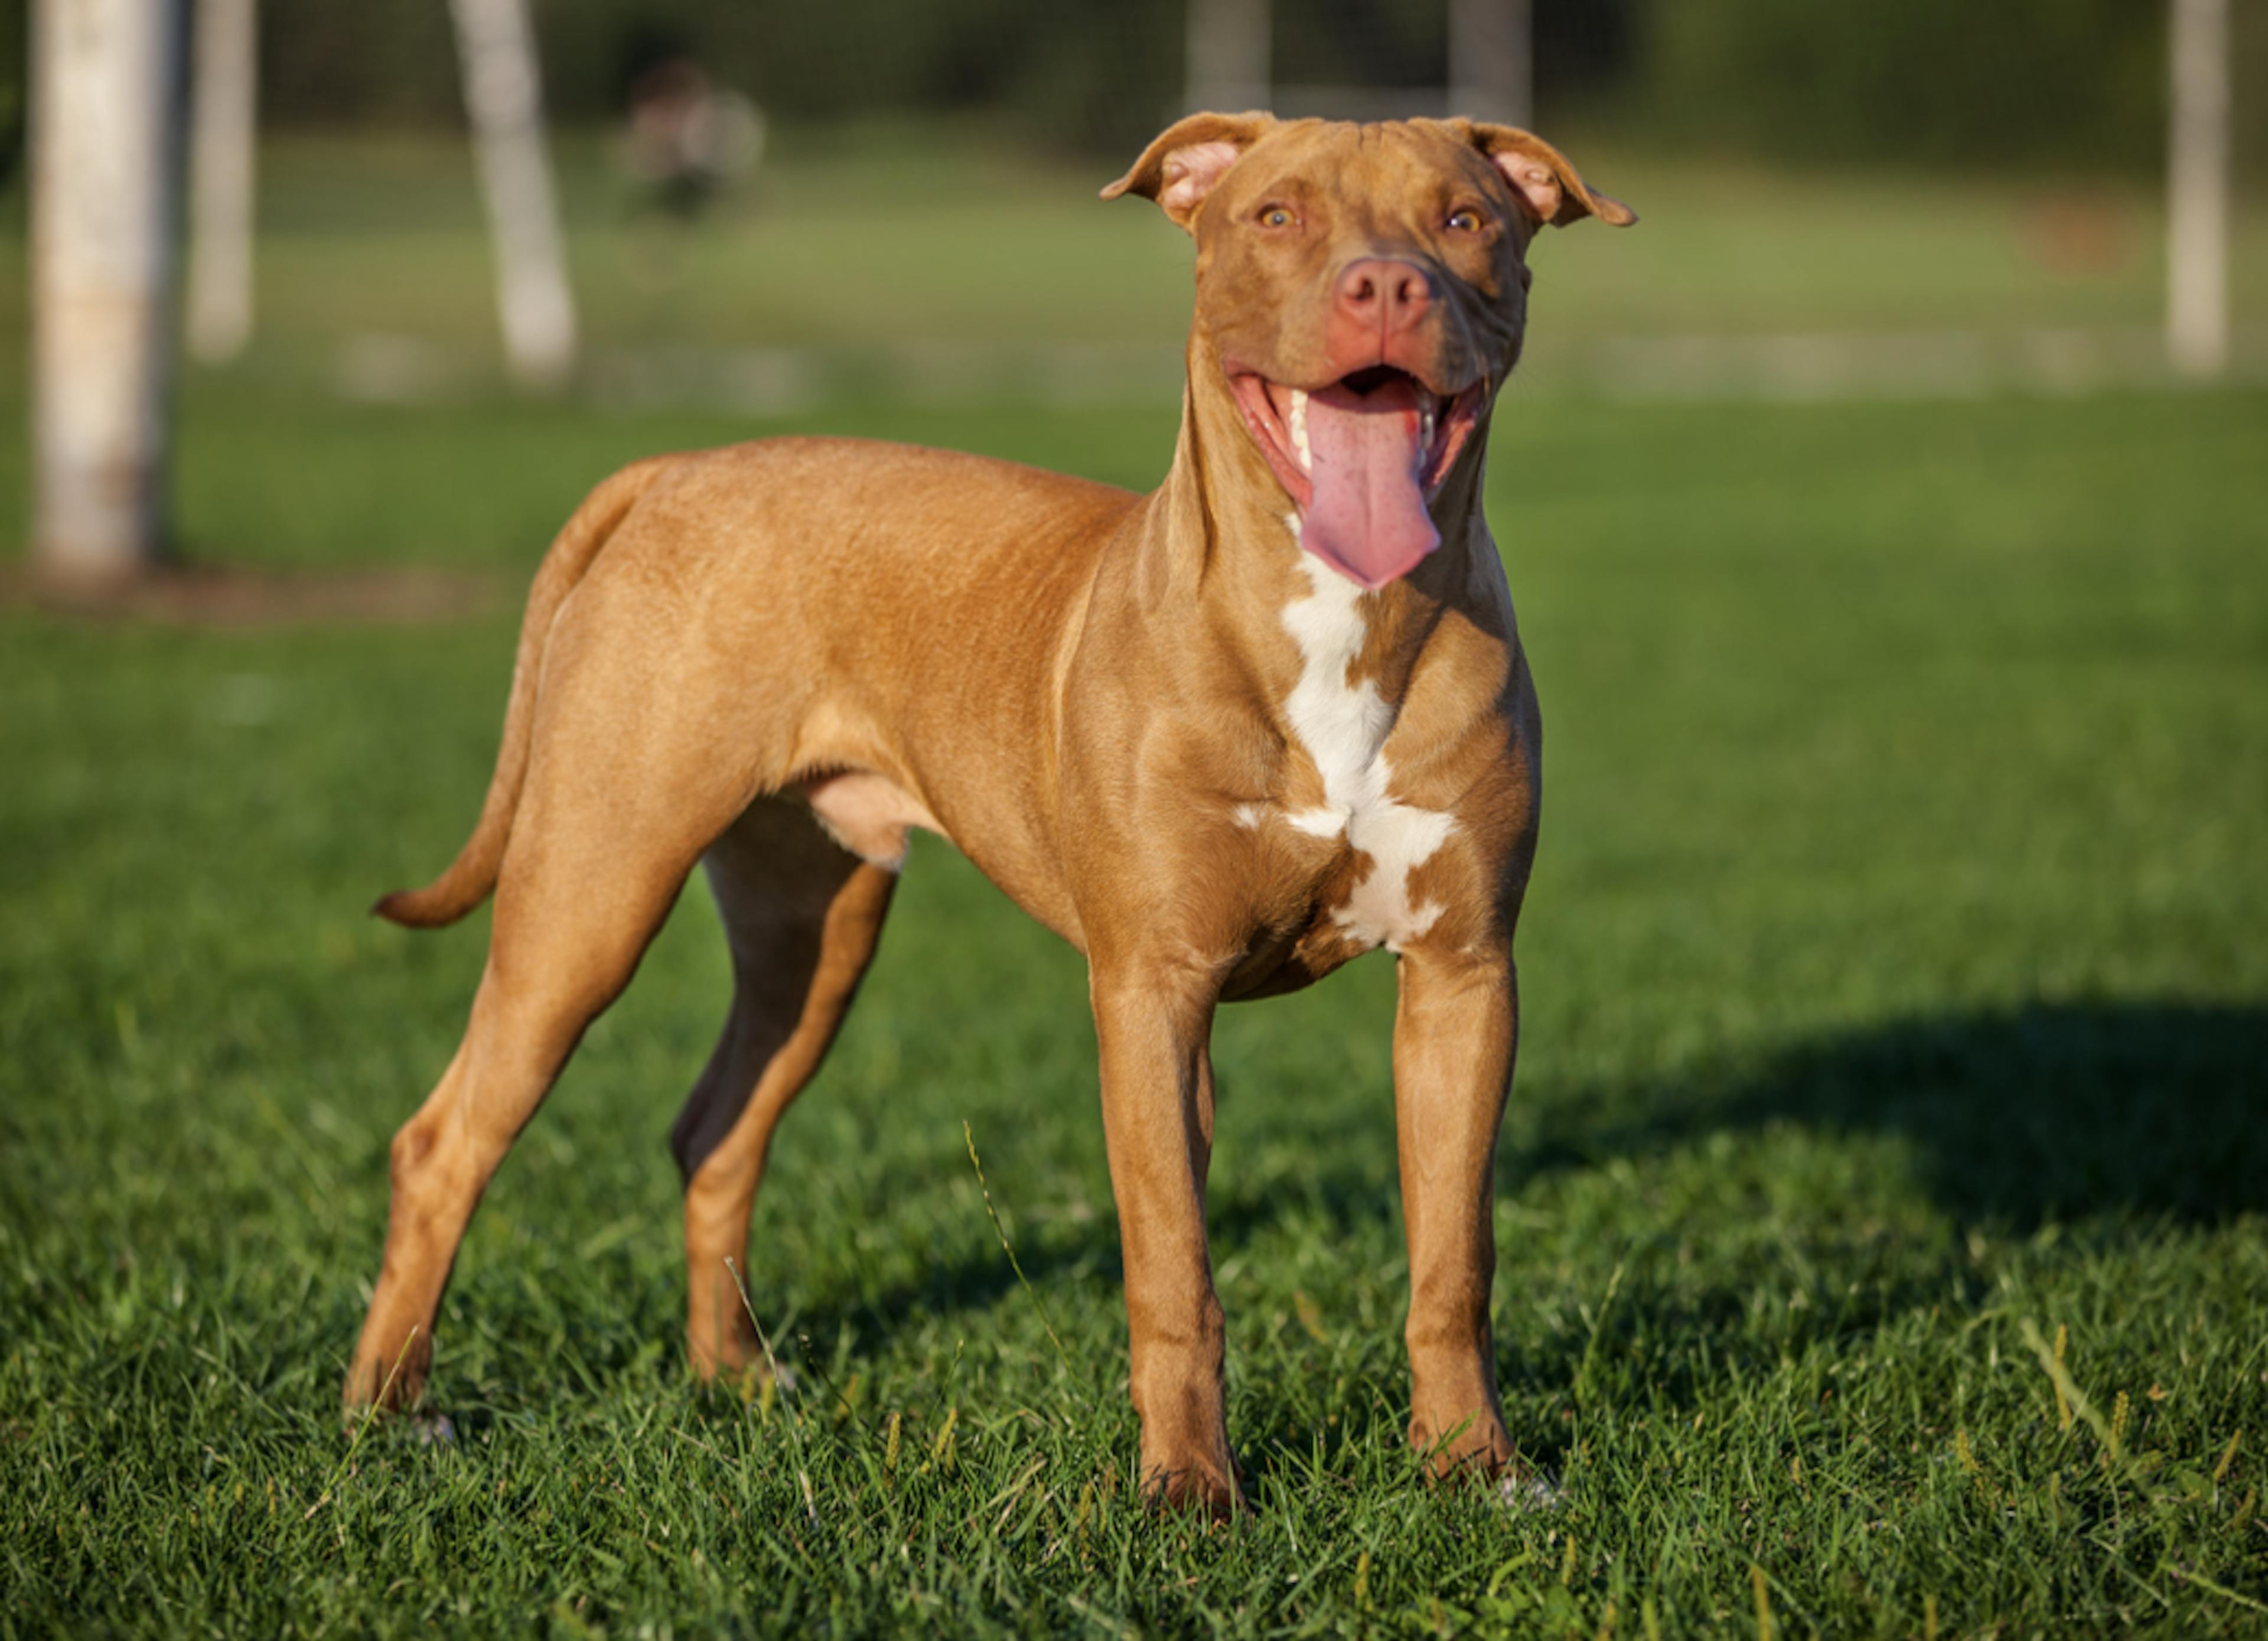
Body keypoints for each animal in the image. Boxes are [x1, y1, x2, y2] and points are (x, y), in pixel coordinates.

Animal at [344, 112, 1632, 1516]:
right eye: (1277, 216)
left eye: (1464, 220)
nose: (1388, 286)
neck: (1343, 619)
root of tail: (679, 470)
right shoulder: (1153, 991)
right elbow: (1174, 1269)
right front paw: (1190, 1490)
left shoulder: (1464, 981)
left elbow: (1455, 1258)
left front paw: (1474, 1469)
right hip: (592, 892)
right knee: (445, 1141)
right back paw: (392, 1410)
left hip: (814, 932)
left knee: (718, 1130)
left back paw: (733, 1377)